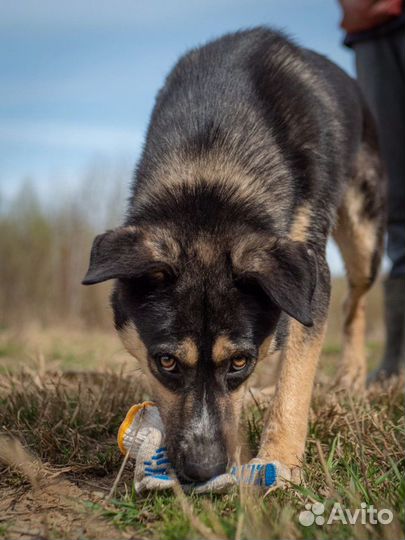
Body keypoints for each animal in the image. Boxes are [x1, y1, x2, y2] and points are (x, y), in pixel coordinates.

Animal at [82, 27, 386, 484]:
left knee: (355, 299)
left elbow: (297, 378)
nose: (203, 470)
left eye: (239, 360)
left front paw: (278, 459)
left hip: (363, 234)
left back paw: (350, 373)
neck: (211, 163)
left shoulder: (308, 268)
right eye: (166, 361)